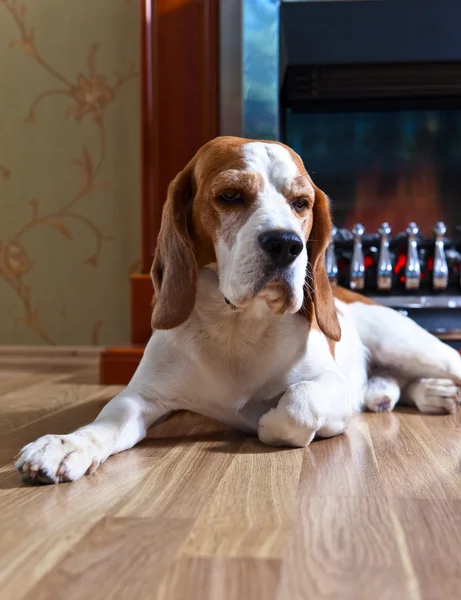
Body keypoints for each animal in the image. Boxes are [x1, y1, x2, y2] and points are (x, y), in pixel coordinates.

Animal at [14, 136, 460, 482]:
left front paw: (267, 422)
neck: (236, 326)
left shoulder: (330, 387)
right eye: (230, 196)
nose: (286, 244)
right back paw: (418, 393)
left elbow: (298, 403)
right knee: (394, 384)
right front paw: (66, 445)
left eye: (301, 203)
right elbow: (106, 421)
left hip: (409, 345)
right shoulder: (140, 397)